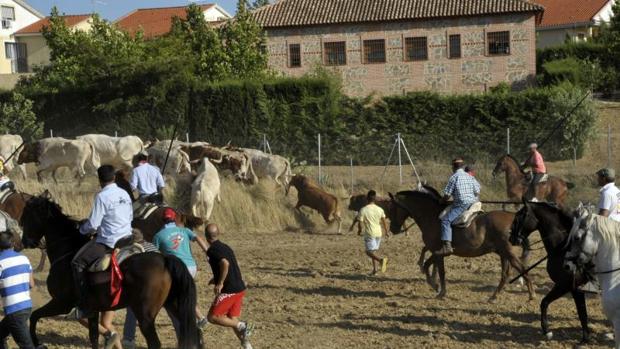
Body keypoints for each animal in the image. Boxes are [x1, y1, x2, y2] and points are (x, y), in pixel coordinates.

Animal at [20, 193, 201, 348]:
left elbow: (34, 316)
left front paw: (37, 343)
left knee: (155, 343)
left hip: (145, 316)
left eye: (27, 216)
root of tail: (164, 260)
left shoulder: (61, 303)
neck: (67, 250)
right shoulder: (92, 311)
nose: (25, 241)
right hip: (175, 305)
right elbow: (93, 337)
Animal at [390, 186, 536, 300]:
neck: (431, 216)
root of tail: (514, 219)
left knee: (521, 269)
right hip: (503, 253)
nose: (393, 229)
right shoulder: (436, 252)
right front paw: (436, 286)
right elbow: (429, 264)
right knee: (506, 274)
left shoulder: (439, 253)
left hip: (508, 252)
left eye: (392, 207)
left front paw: (438, 289)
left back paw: (531, 294)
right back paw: (494, 296)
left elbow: (436, 270)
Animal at [508, 198, 592, 342]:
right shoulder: (575, 289)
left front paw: (547, 331)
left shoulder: (566, 286)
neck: (564, 249)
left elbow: (545, 302)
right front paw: (585, 338)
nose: (511, 238)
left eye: (520, 217)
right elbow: (582, 313)